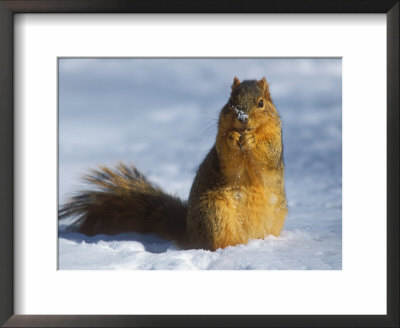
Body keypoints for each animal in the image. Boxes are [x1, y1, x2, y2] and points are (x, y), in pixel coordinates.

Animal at [59, 77, 288, 251]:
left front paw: (252, 140)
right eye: (231, 101)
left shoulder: (275, 142)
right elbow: (226, 157)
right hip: (214, 213)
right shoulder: (219, 154)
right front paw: (232, 138)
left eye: (261, 103)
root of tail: (189, 232)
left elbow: (268, 153)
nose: (242, 118)